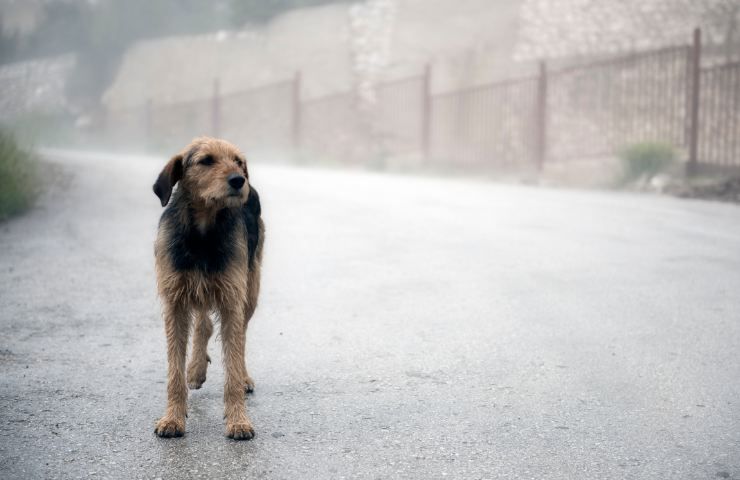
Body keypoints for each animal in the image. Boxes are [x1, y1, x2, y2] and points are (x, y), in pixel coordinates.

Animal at [152, 137, 264, 440]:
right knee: (204, 325)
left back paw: (242, 376)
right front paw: (172, 419)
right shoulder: (174, 302)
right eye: (206, 160)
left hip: (249, 291)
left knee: (240, 337)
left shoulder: (231, 299)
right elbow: (174, 371)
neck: (202, 231)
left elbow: (233, 366)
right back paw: (195, 370)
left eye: (238, 161)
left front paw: (238, 421)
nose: (238, 180)